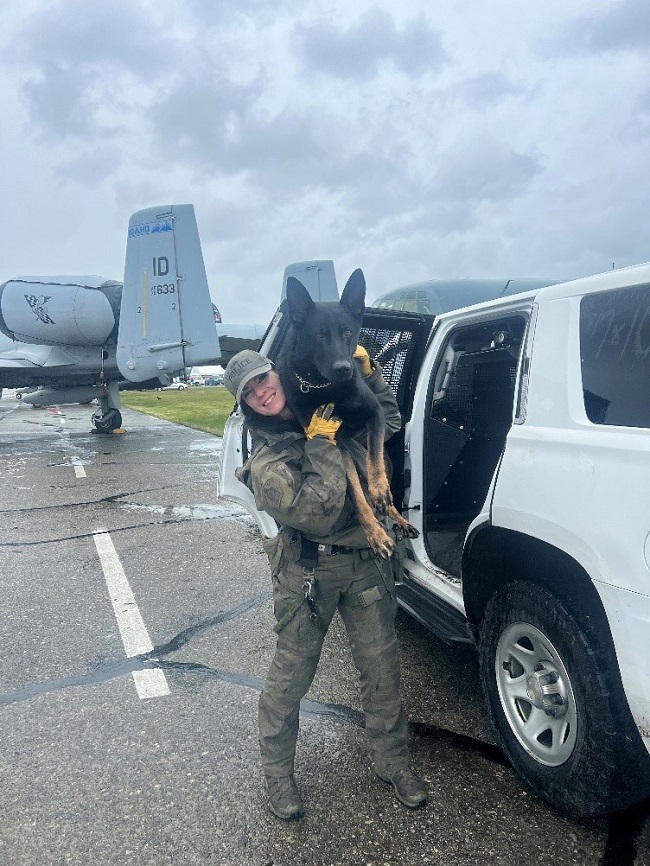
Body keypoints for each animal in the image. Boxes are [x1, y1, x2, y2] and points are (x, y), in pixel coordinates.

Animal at [276, 266, 418, 556]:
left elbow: (375, 463)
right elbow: (356, 495)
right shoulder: (335, 441)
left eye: (348, 332)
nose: (344, 369)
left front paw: (379, 492)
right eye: (319, 334)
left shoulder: (374, 414)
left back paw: (398, 517)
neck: (324, 387)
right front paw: (376, 535)